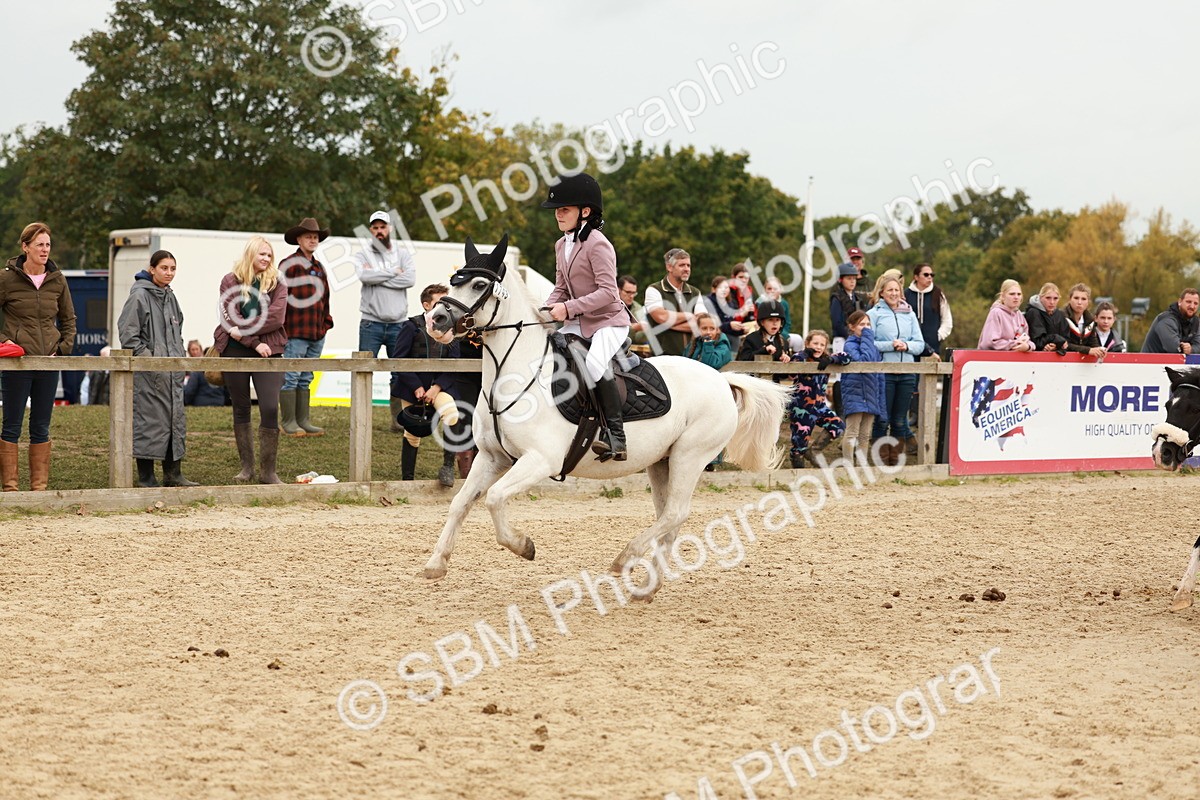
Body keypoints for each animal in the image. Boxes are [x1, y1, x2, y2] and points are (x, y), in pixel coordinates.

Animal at [421, 236, 790, 599]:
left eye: (479, 285)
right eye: (454, 282)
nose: (435, 320)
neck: (513, 374)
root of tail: (721, 380)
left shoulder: (540, 460)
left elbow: (495, 498)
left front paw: (524, 546)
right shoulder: (491, 457)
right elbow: (461, 503)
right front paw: (436, 563)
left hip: (691, 456)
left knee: (675, 512)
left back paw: (625, 558)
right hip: (663, 461)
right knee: (669, 519)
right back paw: (647, 587)